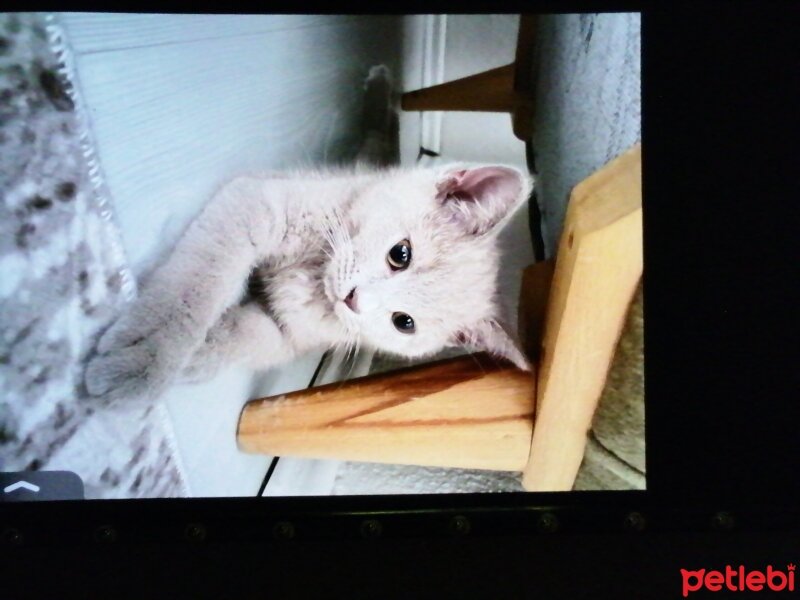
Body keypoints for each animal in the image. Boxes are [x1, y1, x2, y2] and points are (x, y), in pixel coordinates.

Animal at [84, 163, 536, 404]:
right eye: (400, 254)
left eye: (403, 322)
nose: (354, 300)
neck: (315, 275)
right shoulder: (257, 204)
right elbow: (197, 284)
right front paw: (144, 358)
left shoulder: (289, 332)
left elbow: (246, 339)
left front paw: (197, 354)